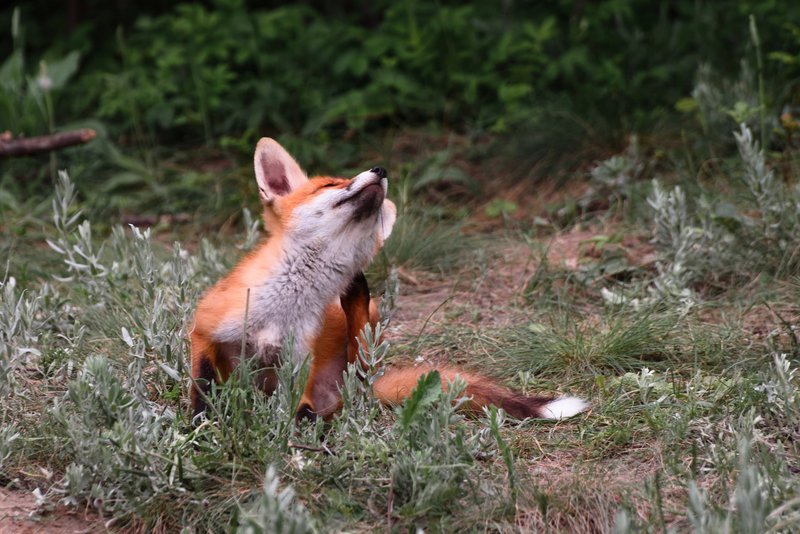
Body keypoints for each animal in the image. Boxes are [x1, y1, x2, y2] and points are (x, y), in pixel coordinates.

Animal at [189, 138, 587, 422]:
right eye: (331, 184)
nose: (379, 169)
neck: (286, 304)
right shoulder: (205, 329)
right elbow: (201, 388)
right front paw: (202, 424)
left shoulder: (297, 364)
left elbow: (298, 411)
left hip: (369, 331)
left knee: (355, 377)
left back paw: (355, 295)